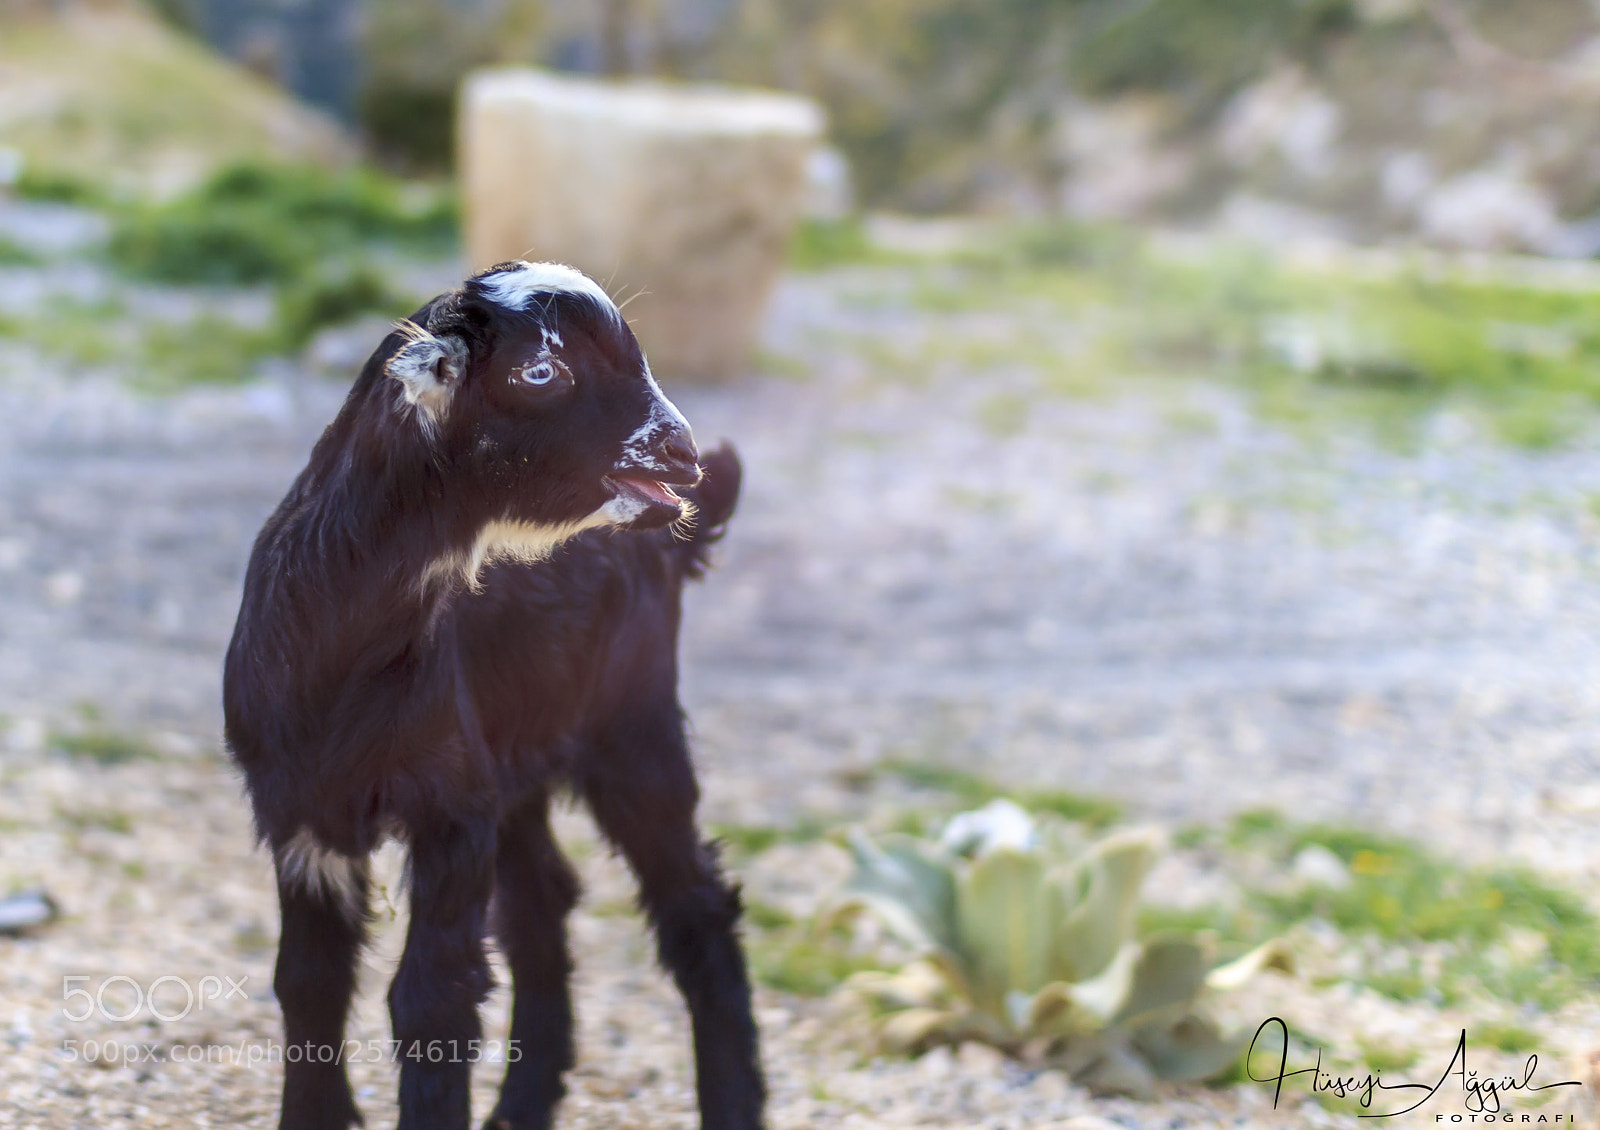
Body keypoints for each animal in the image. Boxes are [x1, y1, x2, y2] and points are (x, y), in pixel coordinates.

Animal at [222, 261, 763, 1130]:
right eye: (540, 372)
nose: (681, 454)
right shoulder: (304, 815)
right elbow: (307, 983)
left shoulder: (450, 807)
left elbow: (432, 998)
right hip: (513, 765)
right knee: (543, 903)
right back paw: (523, 1102)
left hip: (632, 724)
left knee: (697, 909)